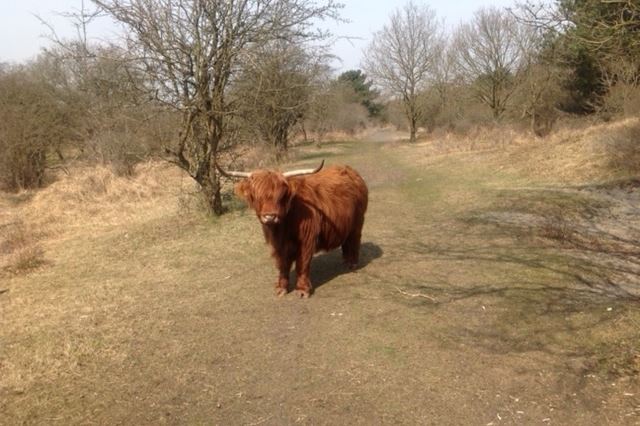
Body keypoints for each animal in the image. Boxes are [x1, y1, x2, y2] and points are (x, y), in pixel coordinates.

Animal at [221, 160, 368, 296]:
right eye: (257, 196)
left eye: (281, 196)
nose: (270, 216)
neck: (283, 226)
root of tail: (350, 171)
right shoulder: (278, 245)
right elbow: (282, 264)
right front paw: (281, 288)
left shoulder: (306, 240)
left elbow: (302, 263)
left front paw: (302, 290)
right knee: (347, 241)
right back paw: (345, 261)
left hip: (358, 221)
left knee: (355, 239)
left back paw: (352, 264)